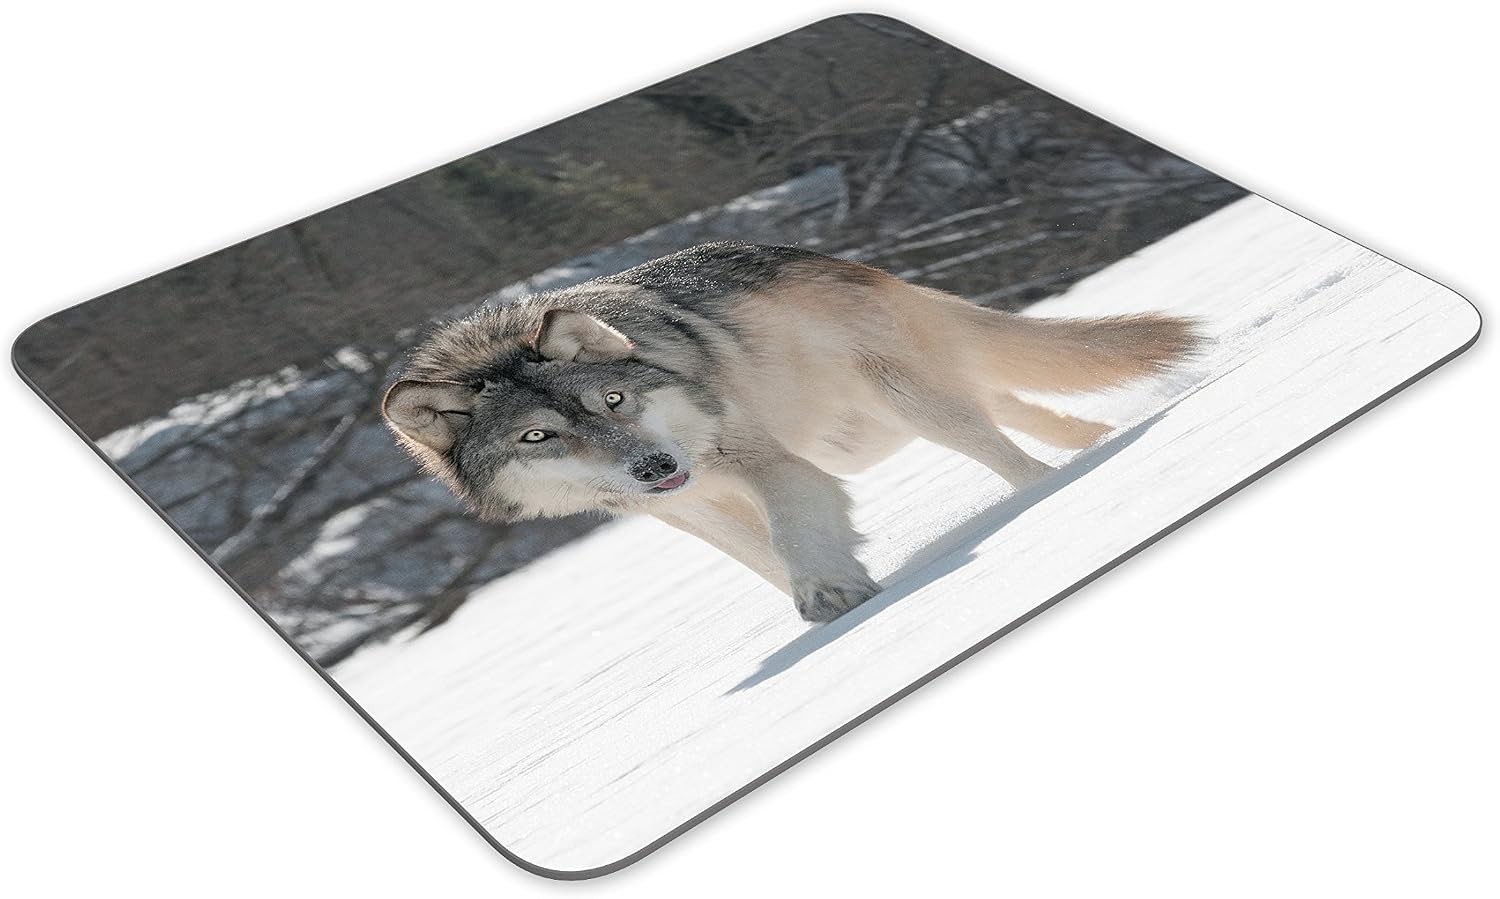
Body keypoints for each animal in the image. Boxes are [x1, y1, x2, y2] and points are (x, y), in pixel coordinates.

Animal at [382, 242, 1199, 622]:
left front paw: (829, 592)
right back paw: (1099, 439)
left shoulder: (766, 465)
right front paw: (823, 606)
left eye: (613, 399)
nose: (652, 466)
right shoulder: (688, 508)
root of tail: (842, 261)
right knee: (1025, 408)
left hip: (900, 410)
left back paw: (1060, 489)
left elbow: (792, 534)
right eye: (538, 439)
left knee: (1011, 453)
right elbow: (761, 559)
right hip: (869, 433)